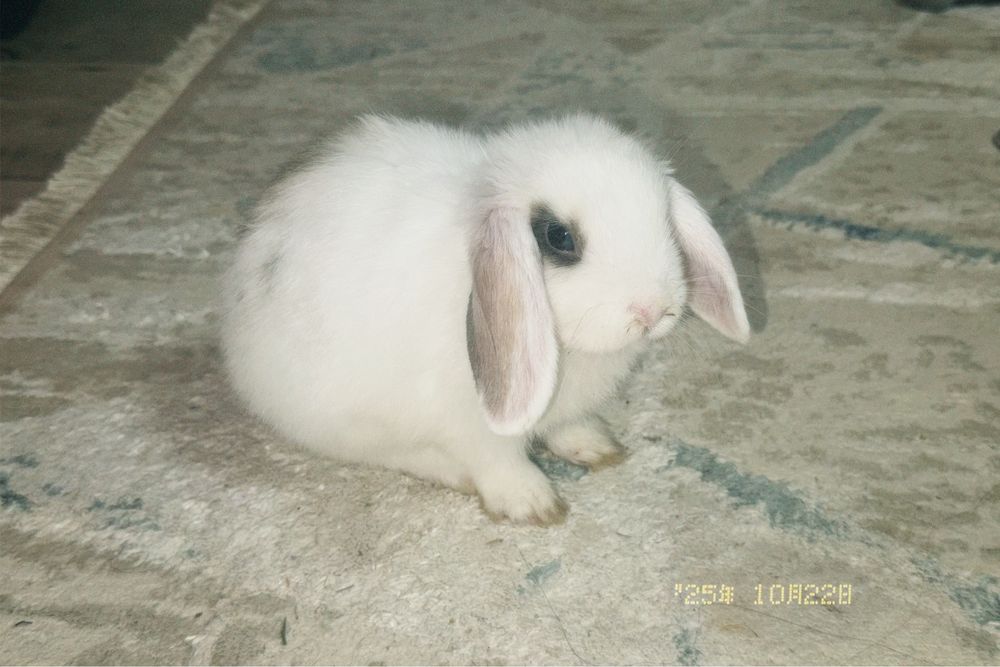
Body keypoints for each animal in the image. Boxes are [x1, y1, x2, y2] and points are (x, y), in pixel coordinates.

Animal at [221, 113, 750, 526]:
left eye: (665, 219)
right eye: (559, 237)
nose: (652, 310)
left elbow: (568, 427)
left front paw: (596, 447)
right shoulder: (470, 424)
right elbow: (497, 461)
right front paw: (534, 505)